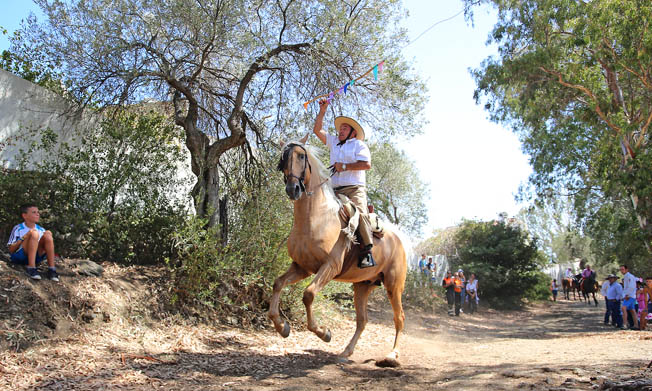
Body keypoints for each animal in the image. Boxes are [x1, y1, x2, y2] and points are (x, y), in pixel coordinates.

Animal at [268, 142, 404, 366]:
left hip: (394, 286)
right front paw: (282, 327)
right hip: (363, 286)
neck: (315, 218)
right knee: (362, 320)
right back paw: (346, 352)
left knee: (399, 318)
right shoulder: (301, 267)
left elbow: (308, 294)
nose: (293, 189)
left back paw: (392, 356)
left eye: (301, 157)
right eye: (283, 158)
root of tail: (399, 241)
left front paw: (324, 333)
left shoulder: (329, 266)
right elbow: (278, 283)